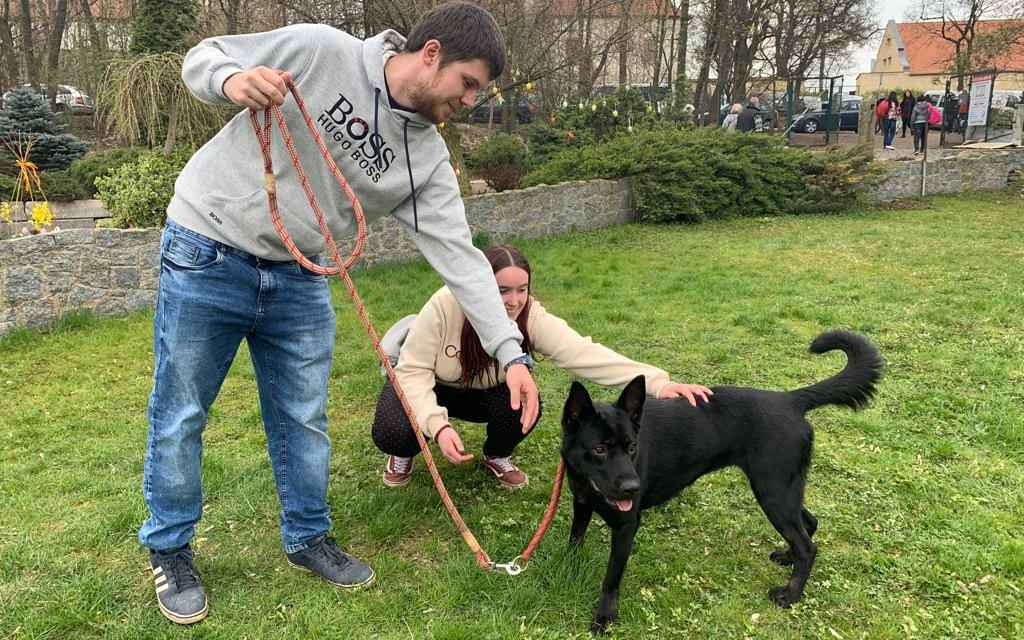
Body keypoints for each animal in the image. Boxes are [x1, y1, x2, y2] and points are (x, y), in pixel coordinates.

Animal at [561, 331, 880, 630]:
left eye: (631, 447)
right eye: (599, 449)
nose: (632, 488)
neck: (589, 482)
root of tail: (790, 400)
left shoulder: (627, 525)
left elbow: (611, 577)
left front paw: (605, 616)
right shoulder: (582, 504)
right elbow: (575, 540)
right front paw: (569, 569)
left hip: (773, 492)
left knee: (808, 546)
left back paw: (790, 595)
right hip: (783, 488)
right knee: (809, 524)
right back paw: (788, 558)